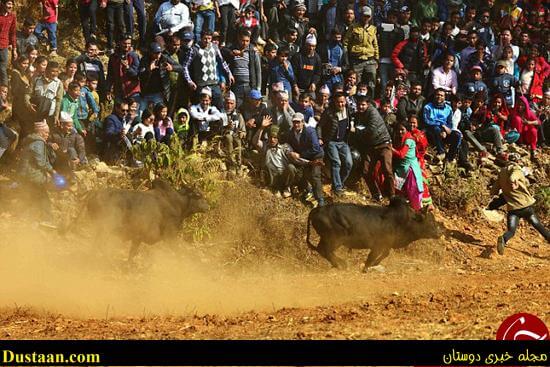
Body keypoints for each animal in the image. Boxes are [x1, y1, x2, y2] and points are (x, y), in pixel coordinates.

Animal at [67, 179, 209, 260]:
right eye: (198, 195)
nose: (208, 206)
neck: (177, 204)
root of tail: (95, 192)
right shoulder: (170, 237)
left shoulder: (138, 238)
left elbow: (132, 254)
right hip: (106, 227)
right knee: (100, 244)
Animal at [306, 198, 444, 270]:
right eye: (430, 221)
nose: (439, 233)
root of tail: (316, 210)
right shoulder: (378, 245)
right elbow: (371, 257)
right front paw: (366, 267)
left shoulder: (386, 244)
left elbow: (385, 254)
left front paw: (374, 264)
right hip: (334, 239)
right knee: (325, 250)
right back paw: (342, 264)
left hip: (326, 239)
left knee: (322, 250)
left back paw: (340, 264)